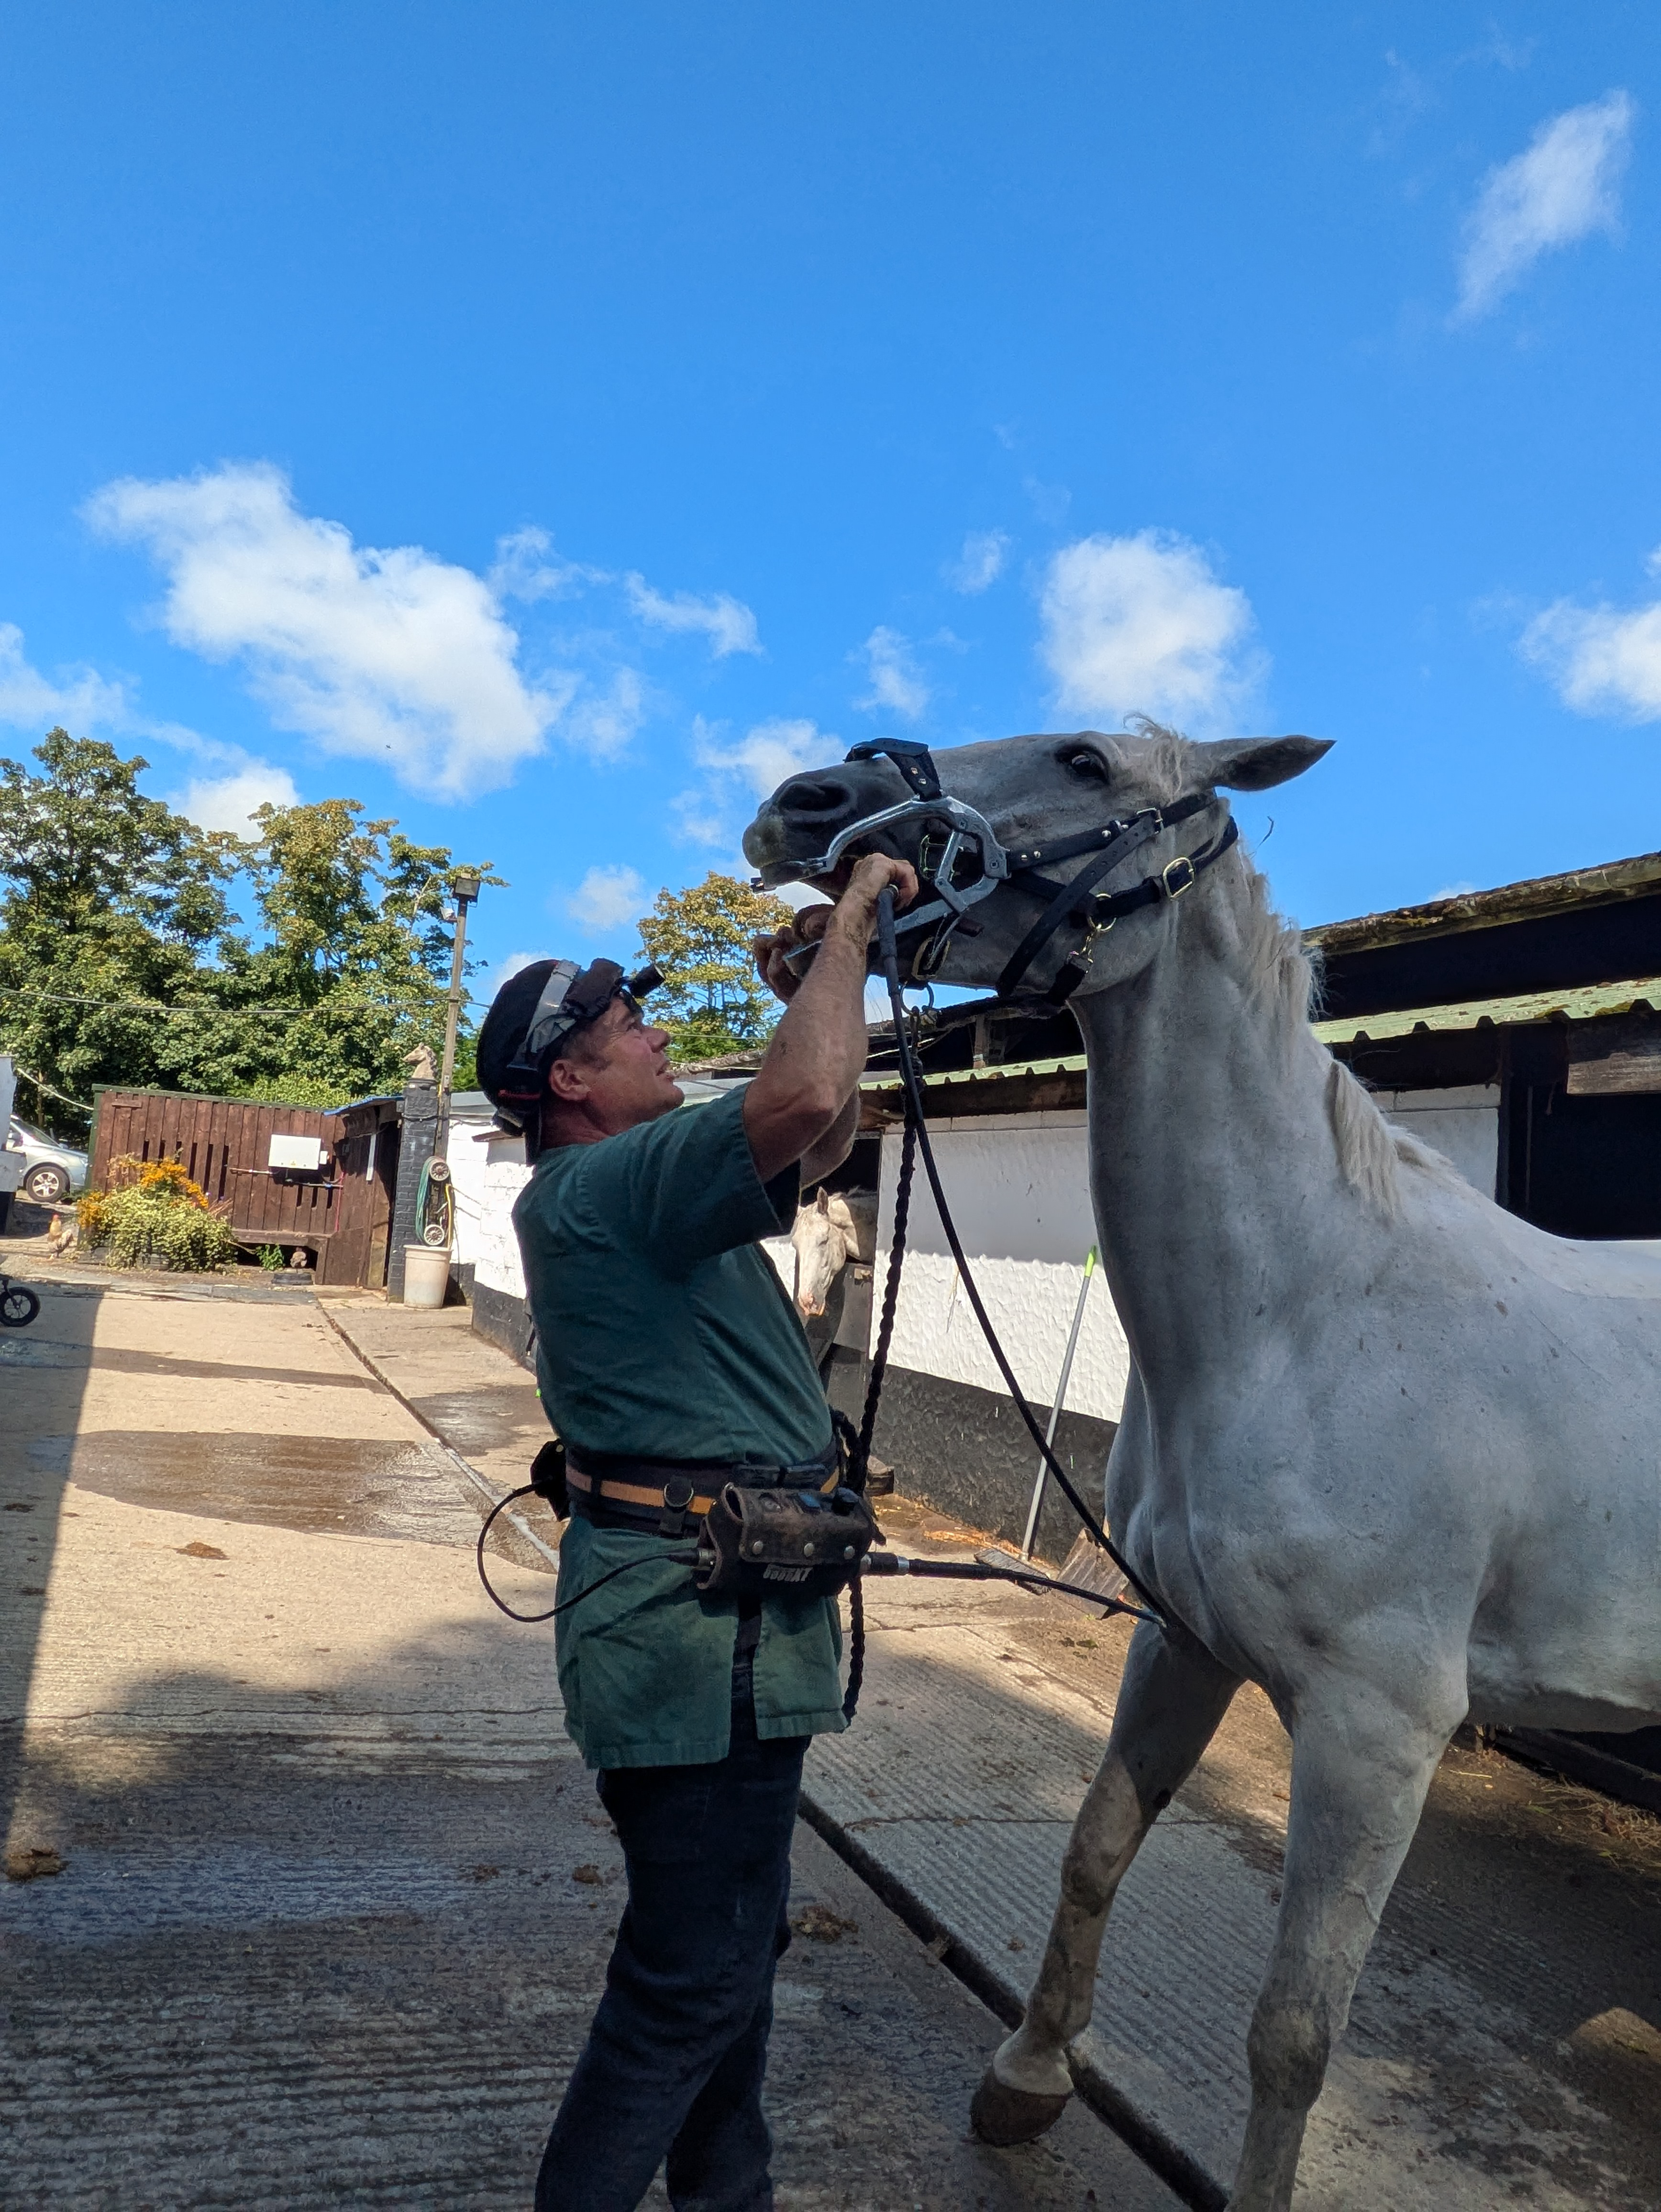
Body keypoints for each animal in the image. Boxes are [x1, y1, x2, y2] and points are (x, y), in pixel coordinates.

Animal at [743, 724, 1661, 2211]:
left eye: (1086, 758)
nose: (805, 800)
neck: (1305, 1314)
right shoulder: (1182, 1642)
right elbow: (1095, 1849)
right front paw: (1028, 2078)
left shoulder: (1376, 1729)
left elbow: (1293, 2027)